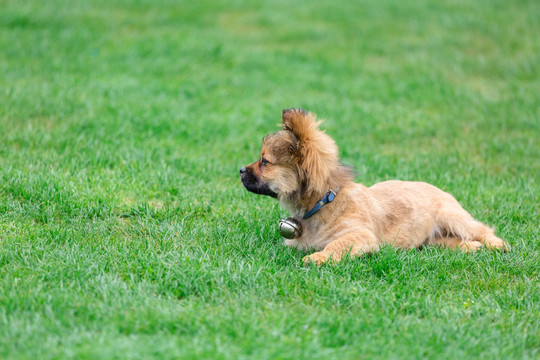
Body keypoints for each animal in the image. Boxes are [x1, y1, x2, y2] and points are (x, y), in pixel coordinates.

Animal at [238, 108, 508, 266]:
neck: (324, 201)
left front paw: (318, 257)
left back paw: (497, 245)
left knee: (481, 229)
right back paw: (470, 248)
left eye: (264, 162)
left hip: (452, 217)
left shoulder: (360, 235)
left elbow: (336, 244)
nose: (240, 170)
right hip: (433, 240)